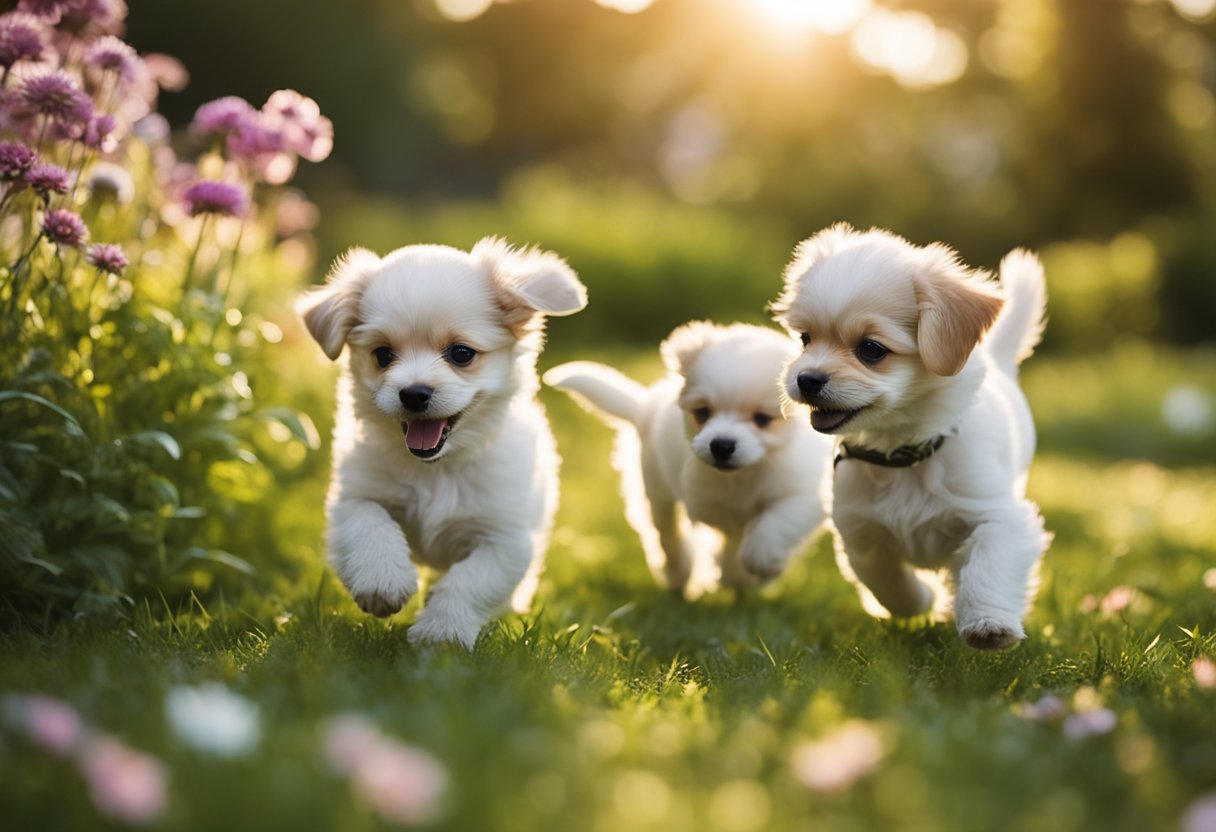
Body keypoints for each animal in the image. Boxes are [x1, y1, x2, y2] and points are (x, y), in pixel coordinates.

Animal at [296, 237, 586, 647]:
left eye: (461, 353)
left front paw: (442, 632)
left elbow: (471, 581)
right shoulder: (353, 498)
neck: (437, 469)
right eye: (383, 354)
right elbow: (370, 525)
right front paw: (382, 581)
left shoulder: (505, 538)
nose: (414, 393)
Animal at [547, 321, 831, 598]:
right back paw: (678, 575)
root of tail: (646, 408)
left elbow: (776, 522)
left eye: (762, 419)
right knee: (667, 535)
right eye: (703, 412)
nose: (722, 445)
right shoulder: (715, 510)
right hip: (656, 490)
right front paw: (740, 575)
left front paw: (759, 563)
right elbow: (733, 543)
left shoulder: (806, 493)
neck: (744, 475)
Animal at [773, 222, 1050, 651]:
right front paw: (921, 601)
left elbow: (988, 564)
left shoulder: (999, 515)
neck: (899, 453)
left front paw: (987, 624)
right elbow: (886, 580)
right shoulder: (858, 530)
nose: (806, 379)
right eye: (805, 339)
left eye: (871, 349)